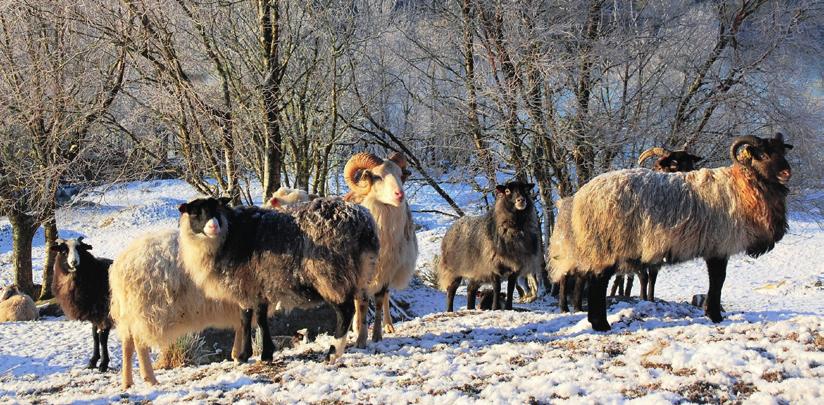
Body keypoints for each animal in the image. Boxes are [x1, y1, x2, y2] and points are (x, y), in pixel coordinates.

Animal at [51, 237, 113, 372]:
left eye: (80, 249)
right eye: (64, 251)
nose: (74, 262)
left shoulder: (105, 314)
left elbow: (102, 338)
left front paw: (103, 364)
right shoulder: (94, 314)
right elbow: (94, 336)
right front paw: (93, 361)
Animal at [109, 229, 246, 386]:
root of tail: (122, 262)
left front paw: (238, 355)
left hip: (130, 310)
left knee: (127, 342)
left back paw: (127, 383)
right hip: (147, 309)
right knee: (139, 342)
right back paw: (150, 379)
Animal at [438, 181, 548, 310]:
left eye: (525, 190)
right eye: (507, 191)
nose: (521, 200)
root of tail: (451, 227)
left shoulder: (515, 268)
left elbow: (510, 289)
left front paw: (509, 308)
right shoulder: (493, 267)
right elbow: (497, 288)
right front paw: (495, 308)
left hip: (477, 272)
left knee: (471, 289)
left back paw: (471, 308)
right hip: (453, 269)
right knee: (451, 290)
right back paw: (450, 310)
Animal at [608, 147, 704, 298]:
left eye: (691, 163)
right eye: (675, 164)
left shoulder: (658, 254)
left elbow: (652, 278)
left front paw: (651, 299)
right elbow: (644, 277)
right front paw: (643, 298)